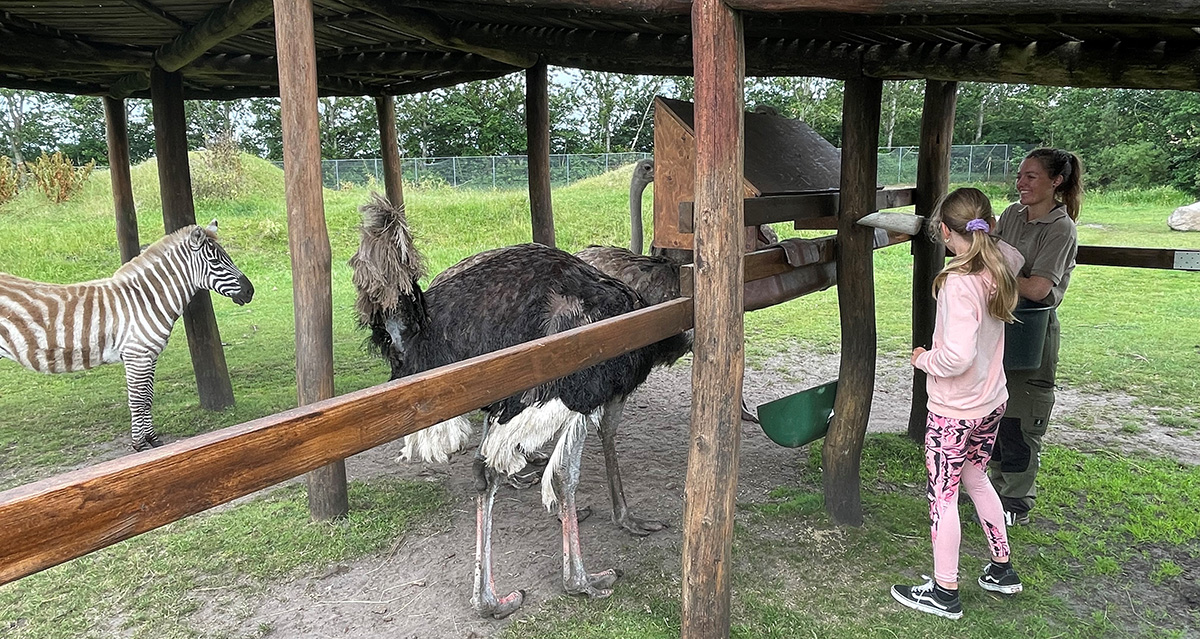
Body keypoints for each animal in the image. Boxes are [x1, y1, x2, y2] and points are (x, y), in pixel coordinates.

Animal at [0, 222, 253, 451]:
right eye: (216, 262)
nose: (250, 291)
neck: (145, 300)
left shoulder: (150, 355)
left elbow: (148, 397)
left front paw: (152, 439)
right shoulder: (136, 355)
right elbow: (137, 401)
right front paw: (139, 444)